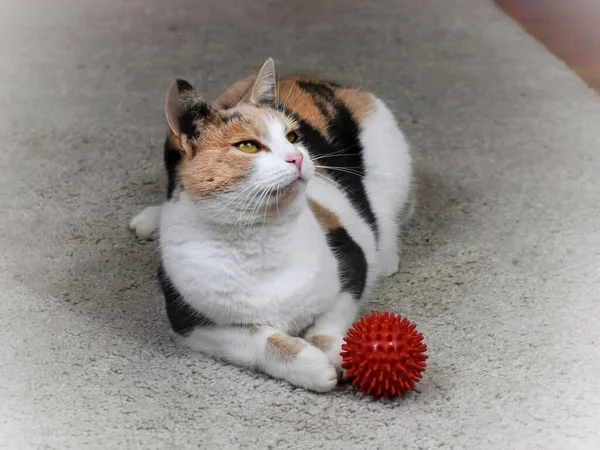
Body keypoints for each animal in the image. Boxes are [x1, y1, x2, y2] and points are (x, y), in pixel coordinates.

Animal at [130, 59, 412, 390]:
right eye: (248, 146)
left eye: (292, 137)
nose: (297, 157)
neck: (258, 239)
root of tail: (314, 79)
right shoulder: (188, 319)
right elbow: (257, 339)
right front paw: (311, 365)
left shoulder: (352, 264)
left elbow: (328, 325)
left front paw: (333, 355)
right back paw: (149, 220)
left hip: (390, 161)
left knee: (387, 212)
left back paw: (387, 256)